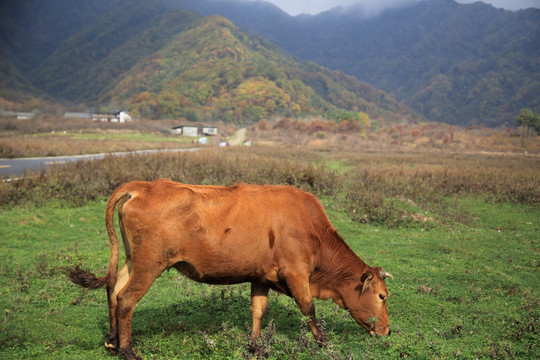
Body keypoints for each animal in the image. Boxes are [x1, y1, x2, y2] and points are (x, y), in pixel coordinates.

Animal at [69, 179, 394, 358]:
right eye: (382, 296)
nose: (388, 331)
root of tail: (142, 186)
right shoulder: (296, 272)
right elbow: (308, 308)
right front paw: (323, 342)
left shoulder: (261, 275)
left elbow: (257, 310)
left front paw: (256, 346)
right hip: (150, 263)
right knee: (126, 299)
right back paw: (127, 351)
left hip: (132, 259)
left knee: (114, 289)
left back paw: (112, 341)